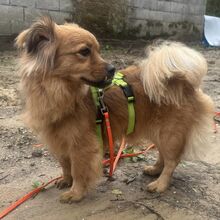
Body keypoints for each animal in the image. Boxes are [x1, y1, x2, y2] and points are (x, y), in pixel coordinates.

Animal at [15, 16, 215, 203]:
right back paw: (155, 169)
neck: (57, 91)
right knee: (162, 155)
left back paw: (160, 183)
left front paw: (75, 193)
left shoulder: (81, 146)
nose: (112, 69)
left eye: (97, 51)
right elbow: (65, 165)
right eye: (84, 52)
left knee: (172, 161)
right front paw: (66, 180)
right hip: (159, 132)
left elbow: (78, 170)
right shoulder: (59, 140)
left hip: (169, 133)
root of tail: (181, 80)